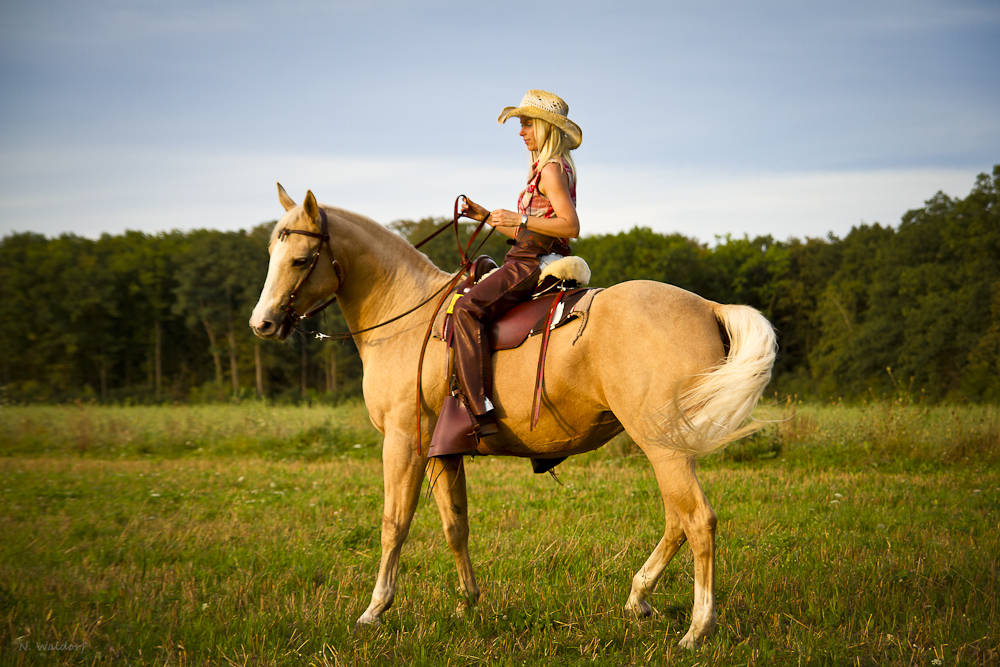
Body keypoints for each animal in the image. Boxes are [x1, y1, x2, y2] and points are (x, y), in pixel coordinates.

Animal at [252, 184, 780, 648]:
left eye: (301, 259)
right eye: (272, 254)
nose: (263, 323)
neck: (407, 319)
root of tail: (708, 306)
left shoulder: (404, 442)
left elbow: (394, 523)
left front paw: (374, 610)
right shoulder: (444, 451)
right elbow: (456, 524)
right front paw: (467, 604)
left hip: (663, 445)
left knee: (698, 521)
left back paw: (697, 629)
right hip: (666, 446)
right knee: (678, 520)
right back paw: (638, 598)